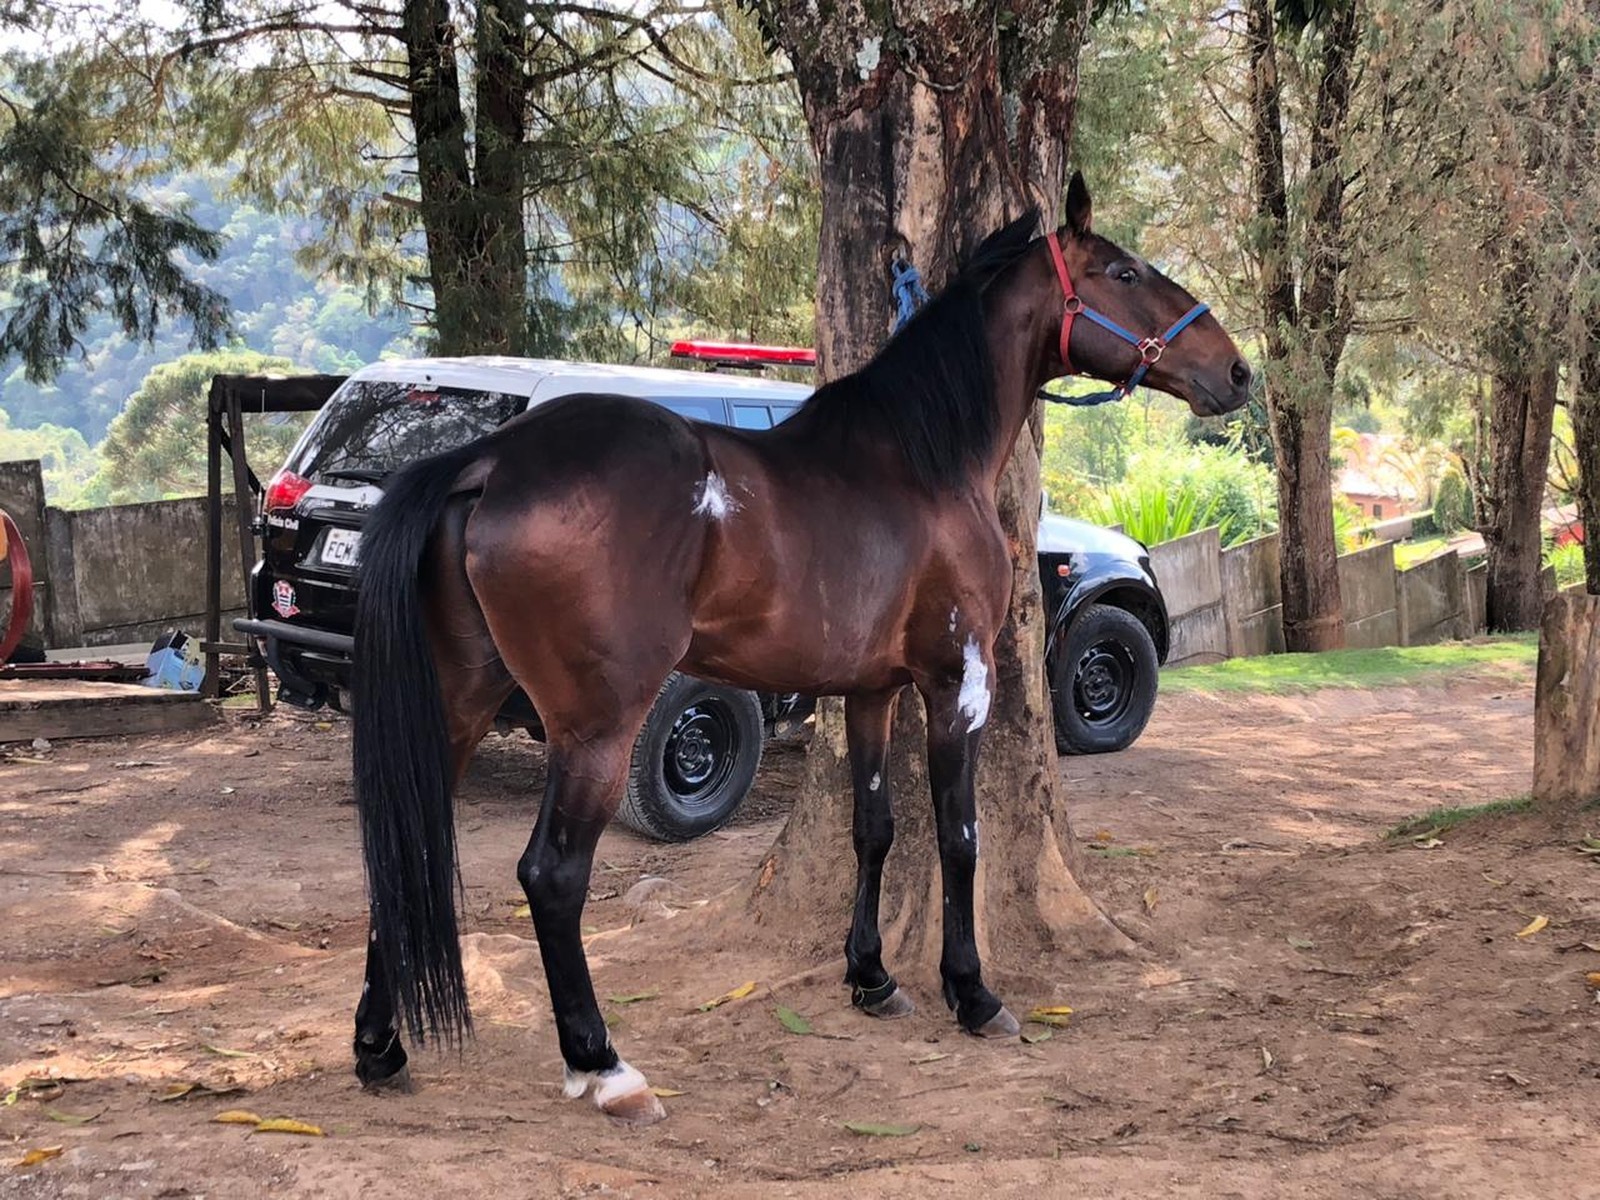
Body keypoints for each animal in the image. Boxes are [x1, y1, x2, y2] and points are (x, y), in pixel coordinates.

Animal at [350, 171, 1248, 1126]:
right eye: (1124, 271)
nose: (1236, 371)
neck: (924, 462)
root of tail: (489, 461)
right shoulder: (956, 683)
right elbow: (960, 835)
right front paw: (971, 992)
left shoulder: (870, 691)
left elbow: (875, 829)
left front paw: (871, 978)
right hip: (598, 728)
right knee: (551, 876)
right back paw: (603, 1065)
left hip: (458, 705)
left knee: (402, 857)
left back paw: (380, 1047)